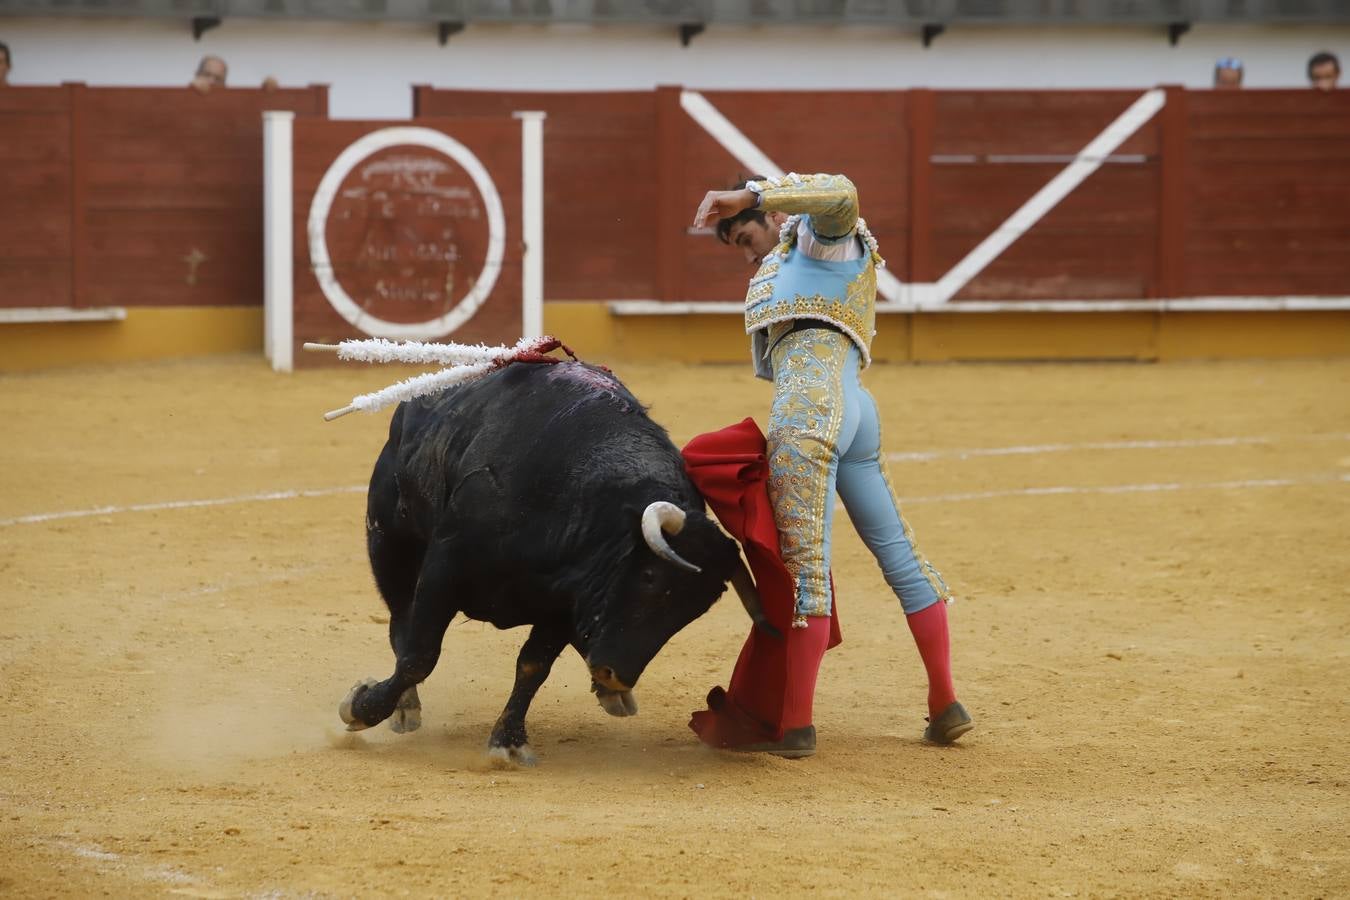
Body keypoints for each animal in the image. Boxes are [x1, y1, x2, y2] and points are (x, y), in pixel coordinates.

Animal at [334, 361, 772, 766]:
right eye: (649, 576)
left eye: (694, 611)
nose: (615, 673)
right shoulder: (445, 568)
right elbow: (419, 656)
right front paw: (360, 708)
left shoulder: (565, 603)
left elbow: (533, 666)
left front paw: (509, 742)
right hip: (391, 546)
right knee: (400, 623)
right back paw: (405, 707)